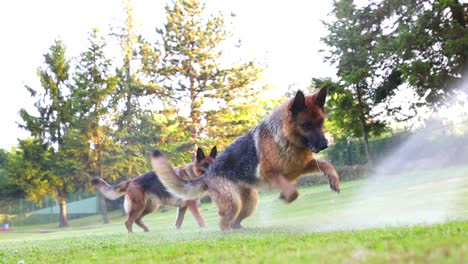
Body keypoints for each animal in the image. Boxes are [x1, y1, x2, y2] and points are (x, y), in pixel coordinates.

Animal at [152, 87, 342, 230]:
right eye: (306, 125)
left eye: (320, 123)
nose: (324, 144)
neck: (285, 138)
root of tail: (208, 173)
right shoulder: (269, 173)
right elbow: (292, 191)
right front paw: (284, 196)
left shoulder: (301, 166)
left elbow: (326, 163)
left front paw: (334, 180)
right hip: (233, 202)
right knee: (223, 223)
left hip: (250, 203)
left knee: (235, 221)